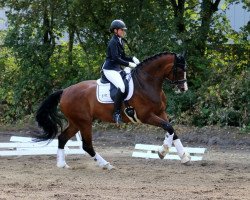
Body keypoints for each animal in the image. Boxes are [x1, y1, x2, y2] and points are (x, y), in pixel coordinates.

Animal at [35, 51, 190, 169]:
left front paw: (184, 157)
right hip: (84, 122)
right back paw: (106, 164)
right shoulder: (146, 116)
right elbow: (168, 127)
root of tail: (65, 91)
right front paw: (162, 151)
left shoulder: (160, 112)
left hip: (76, 122)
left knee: (62, 138)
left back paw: (62, 164)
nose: (183, 88)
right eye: (179, 70)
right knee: (87, 145)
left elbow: (172, 130)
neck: (147, 83)